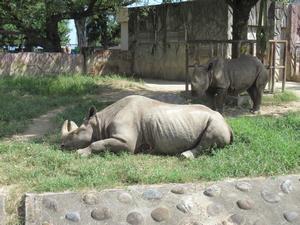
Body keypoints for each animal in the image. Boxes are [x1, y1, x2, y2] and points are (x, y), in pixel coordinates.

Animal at [60, 94, 232, 158]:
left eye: (75, 133)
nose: (61, 146)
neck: (100, 122)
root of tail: (227, 124)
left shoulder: (126, 141)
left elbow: (97, 143)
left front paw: (80, 153)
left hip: (216, 122)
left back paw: (184, 156)